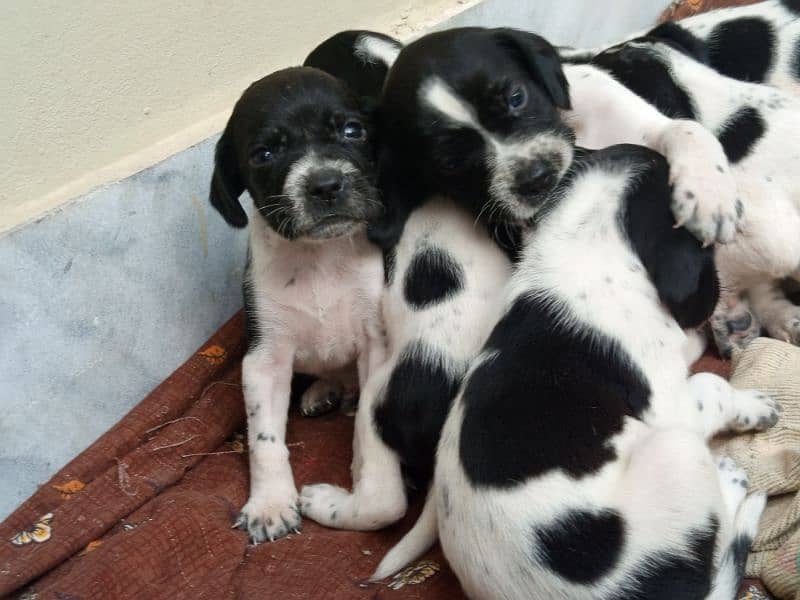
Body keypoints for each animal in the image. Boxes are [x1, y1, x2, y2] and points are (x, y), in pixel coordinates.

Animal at [209, 65, 388, 544]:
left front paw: (362, 481)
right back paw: (322, 391)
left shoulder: (377, 341)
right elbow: (264, 440)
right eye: (264, 153)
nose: (325, 184)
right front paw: (270, 504)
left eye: (352, 130)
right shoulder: (264, 359)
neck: (318, 258)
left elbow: (367, 423)